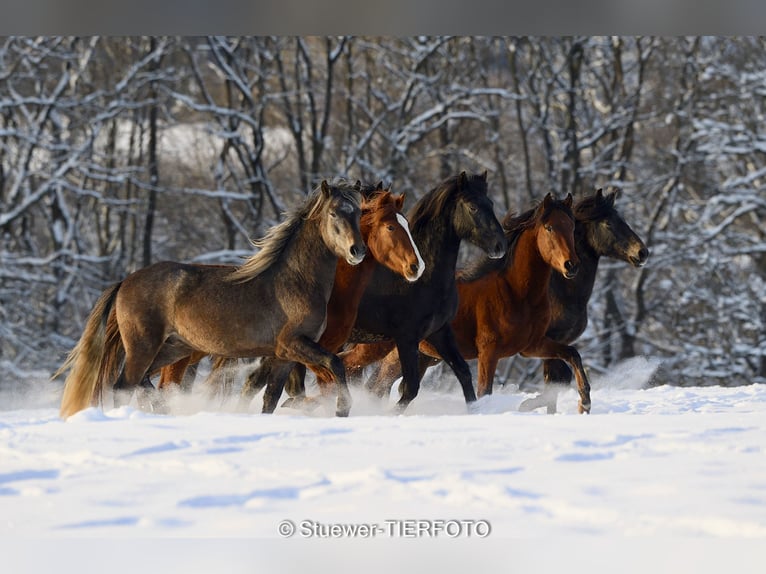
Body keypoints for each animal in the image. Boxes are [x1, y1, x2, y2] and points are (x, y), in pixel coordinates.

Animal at [55, 180, 368, 418]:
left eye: (358, 213)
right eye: (334, 213)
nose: (358, 251)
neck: (296, 280)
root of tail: (125, 282)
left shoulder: (283, 355)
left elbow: (270, 398)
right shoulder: (293, 344)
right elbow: (335, 364)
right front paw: (342, 409)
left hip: (172, 348)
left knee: (142, 382)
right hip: (143, 347)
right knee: (124, 386)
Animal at [340, 171, 508, 414]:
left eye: (491, 204)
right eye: (473, 207)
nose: (500, 246)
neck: (424, 280)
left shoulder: (439, 332)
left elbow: (463, 373)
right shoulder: (407, 337)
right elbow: (410, 388)